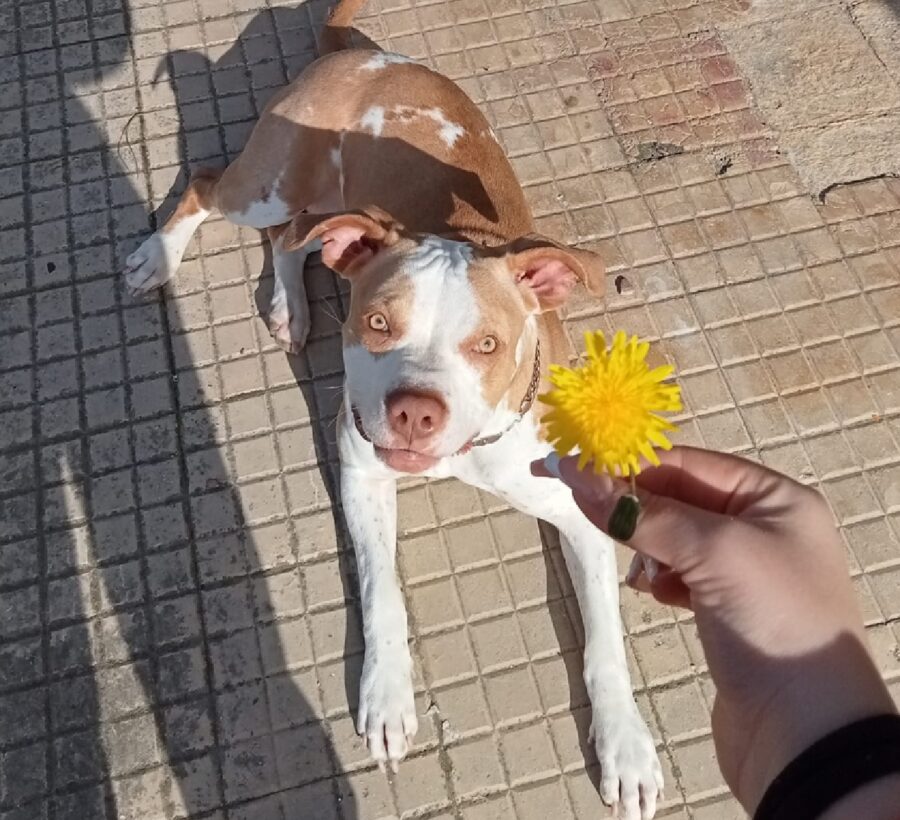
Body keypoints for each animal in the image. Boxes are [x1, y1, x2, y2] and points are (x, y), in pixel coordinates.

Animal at [125, 3, 660, 816]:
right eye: (378, 325)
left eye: (487, 344)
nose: (414, 413)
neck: (474, 454)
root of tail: (363, 53)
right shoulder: (363, 472)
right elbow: (384, 595)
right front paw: (385, 699)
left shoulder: (583, 513)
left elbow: (604, 641)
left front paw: (626, 746)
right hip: (269, 183)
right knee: (209, 186)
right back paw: (161, 257)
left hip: (326, 209)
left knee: (296, 240)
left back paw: (288, 306)